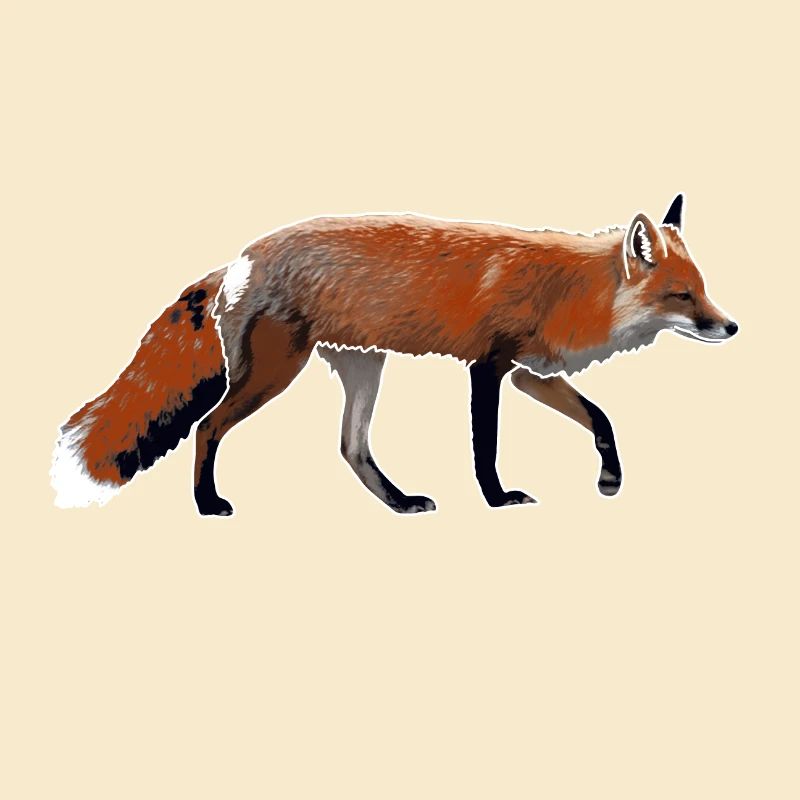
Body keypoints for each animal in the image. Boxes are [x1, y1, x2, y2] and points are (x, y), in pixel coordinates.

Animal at [51, 194, 738, 516]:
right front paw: (496, 500)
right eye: (682, 295)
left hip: (364, 367)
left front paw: (609, 478)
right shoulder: (489, 369)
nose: (731, 326)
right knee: (206, 427)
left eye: (703, 289)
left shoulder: (530, 375)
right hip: (275, 372)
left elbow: (601, 419)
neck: (572, 290)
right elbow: (485, 447)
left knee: (351, 449)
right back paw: (207, 505)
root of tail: (242, 258)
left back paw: (401, 503)